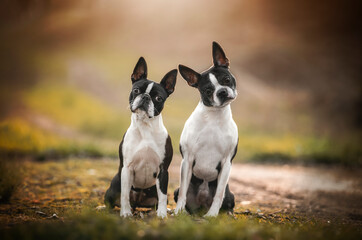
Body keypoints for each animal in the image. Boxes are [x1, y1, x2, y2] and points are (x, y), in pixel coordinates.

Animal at [103, 57, 177, 218]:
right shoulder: (127, 169)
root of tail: (137, 204)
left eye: (158, 98)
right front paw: (125, 213)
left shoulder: (163, 171)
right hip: (113, 187)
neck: (145, 127)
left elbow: (163, 196)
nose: (145, 97)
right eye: (136, 90)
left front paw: (162, 214)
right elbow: (124, 195)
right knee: (112, 201)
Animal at [175, 42, 239, 217]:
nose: (222, 92)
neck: (214, 118)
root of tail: (202, 203)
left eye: (226, 79)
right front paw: (177, 212)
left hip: (231, 195)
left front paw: (212, 215)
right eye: (208, 91)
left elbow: (219, 194)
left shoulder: (226, 163)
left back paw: (227, 213)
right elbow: (183, 192)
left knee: (226, 200)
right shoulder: (187, 159)